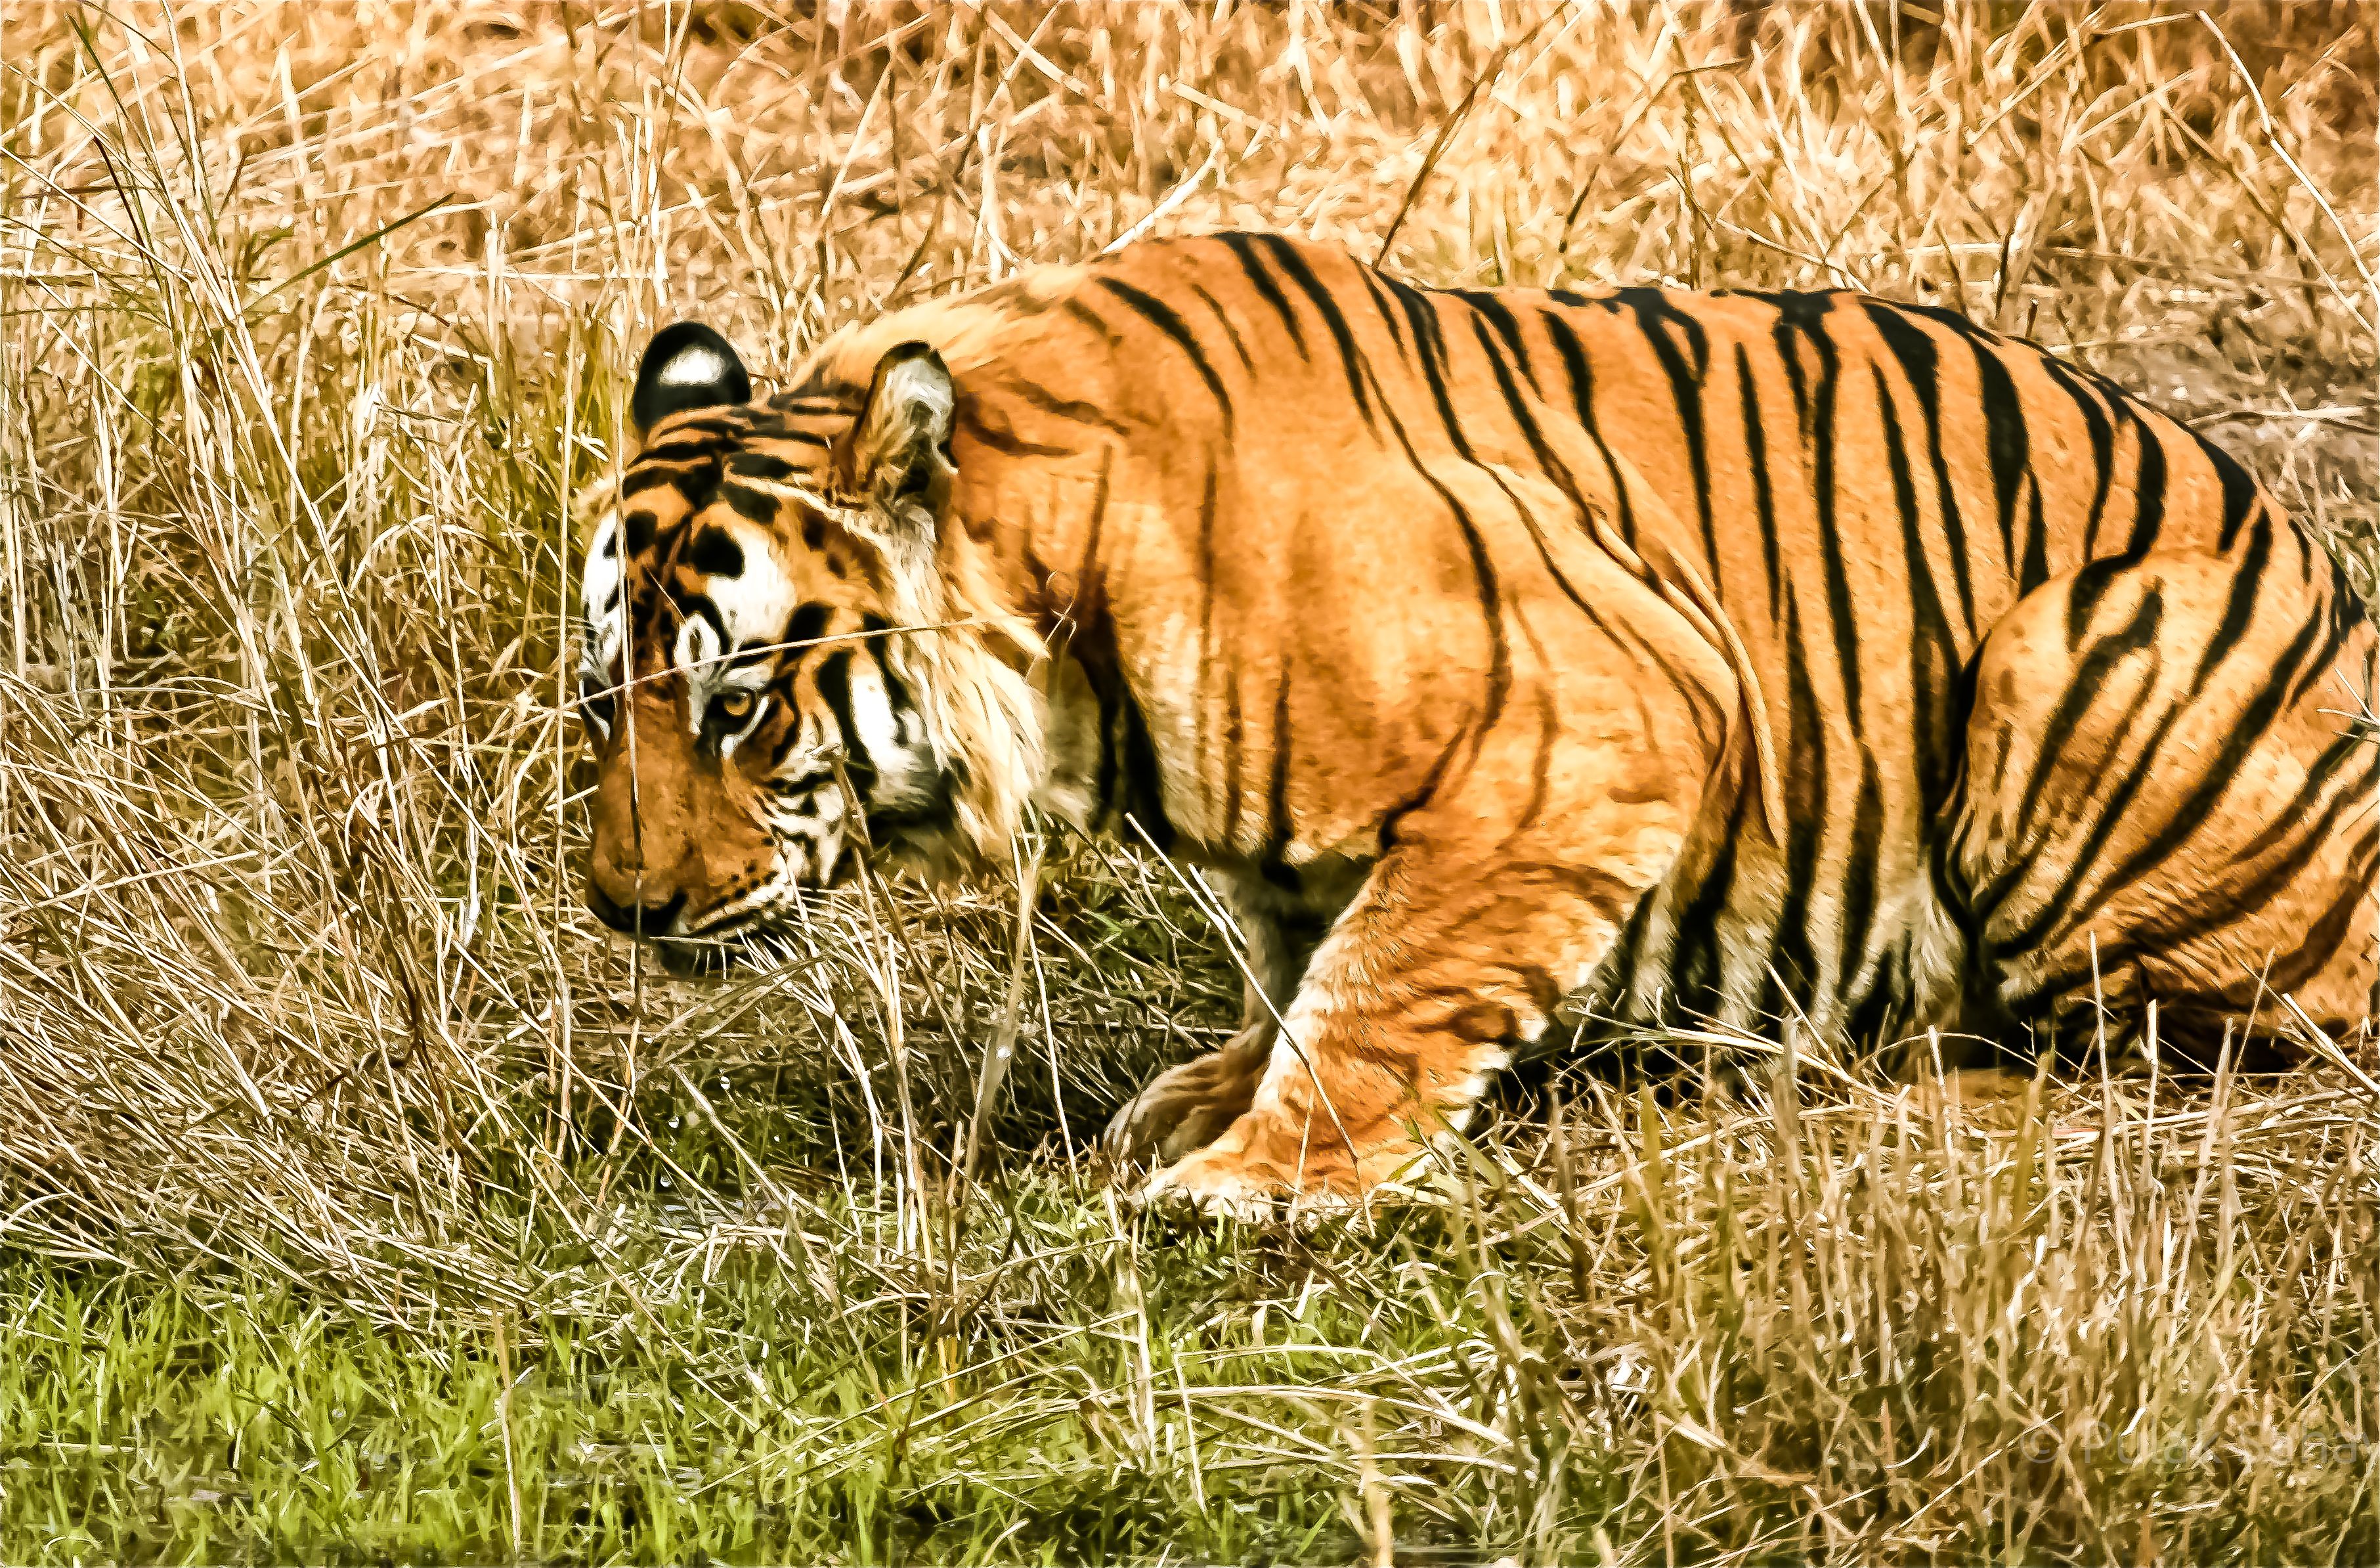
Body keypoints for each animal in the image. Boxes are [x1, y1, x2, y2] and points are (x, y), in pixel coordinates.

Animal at [573, 231, 2379, 1217]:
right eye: (606, 701)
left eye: (735, 705)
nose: (624, 907)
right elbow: (1308, 963)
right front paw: (1205, 1099)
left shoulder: (1602, 716)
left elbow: (1385, 982)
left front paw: (1256, 1183)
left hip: (2066, 658)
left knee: (2191, 1052)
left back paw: (1902, 1097)